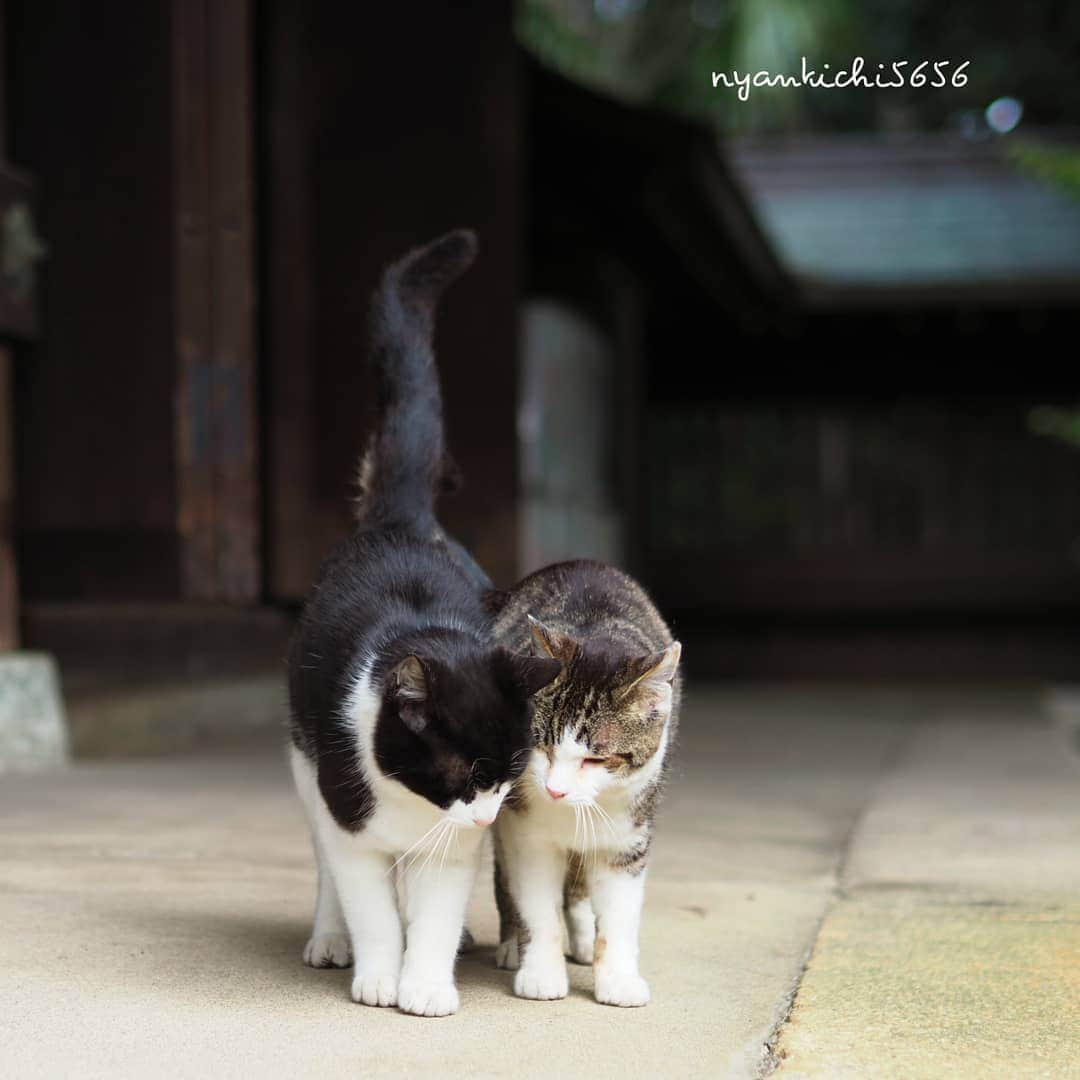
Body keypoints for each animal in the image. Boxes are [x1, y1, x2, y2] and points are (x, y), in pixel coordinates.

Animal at [285, 232, 557, 1015]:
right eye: (467, 770)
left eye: (513, 770)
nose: (489, 815)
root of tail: (400, 518)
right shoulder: (350, 817)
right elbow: (370, 903)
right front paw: (380, 976)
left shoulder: (455, 846)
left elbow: (433, 910)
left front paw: (428, 984)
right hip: (305, 766)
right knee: (327, 867)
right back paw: (330, 939)